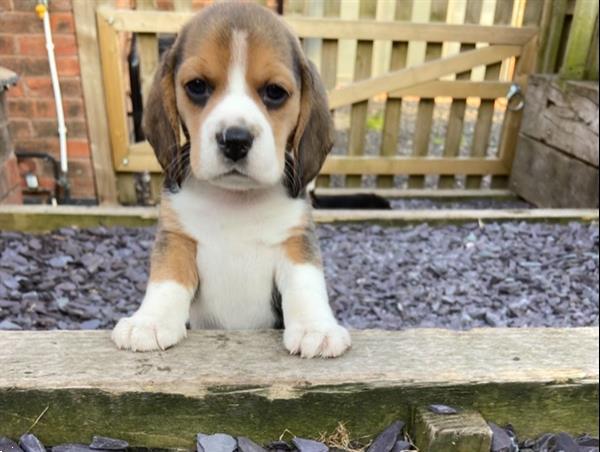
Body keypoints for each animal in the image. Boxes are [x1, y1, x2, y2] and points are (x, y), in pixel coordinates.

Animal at [111, 1, 352, 358]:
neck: (235, 201)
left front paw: (316, 328)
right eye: (197, 86)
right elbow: (167, 278)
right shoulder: (177, 237)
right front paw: (149, 322)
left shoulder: (296, 240)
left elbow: (306, 283)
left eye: (275, 92)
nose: (235, 140)